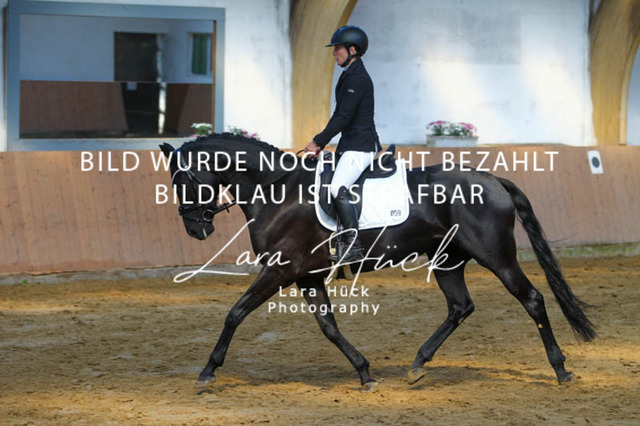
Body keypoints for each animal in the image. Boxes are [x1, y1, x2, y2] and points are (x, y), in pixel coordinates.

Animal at [159, 133, 595, 392]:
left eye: (183, 179)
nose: (195, 229)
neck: (276, 191)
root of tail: (490, 178)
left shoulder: (281, 271)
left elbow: (235, 313)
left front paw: (207, 372)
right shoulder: (307, 277)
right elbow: (329, 328)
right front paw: (365, 372)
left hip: (496, 257)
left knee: (532, 300)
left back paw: (561, 369)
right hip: (447, 261)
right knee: (460, 306)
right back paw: (417, 364)